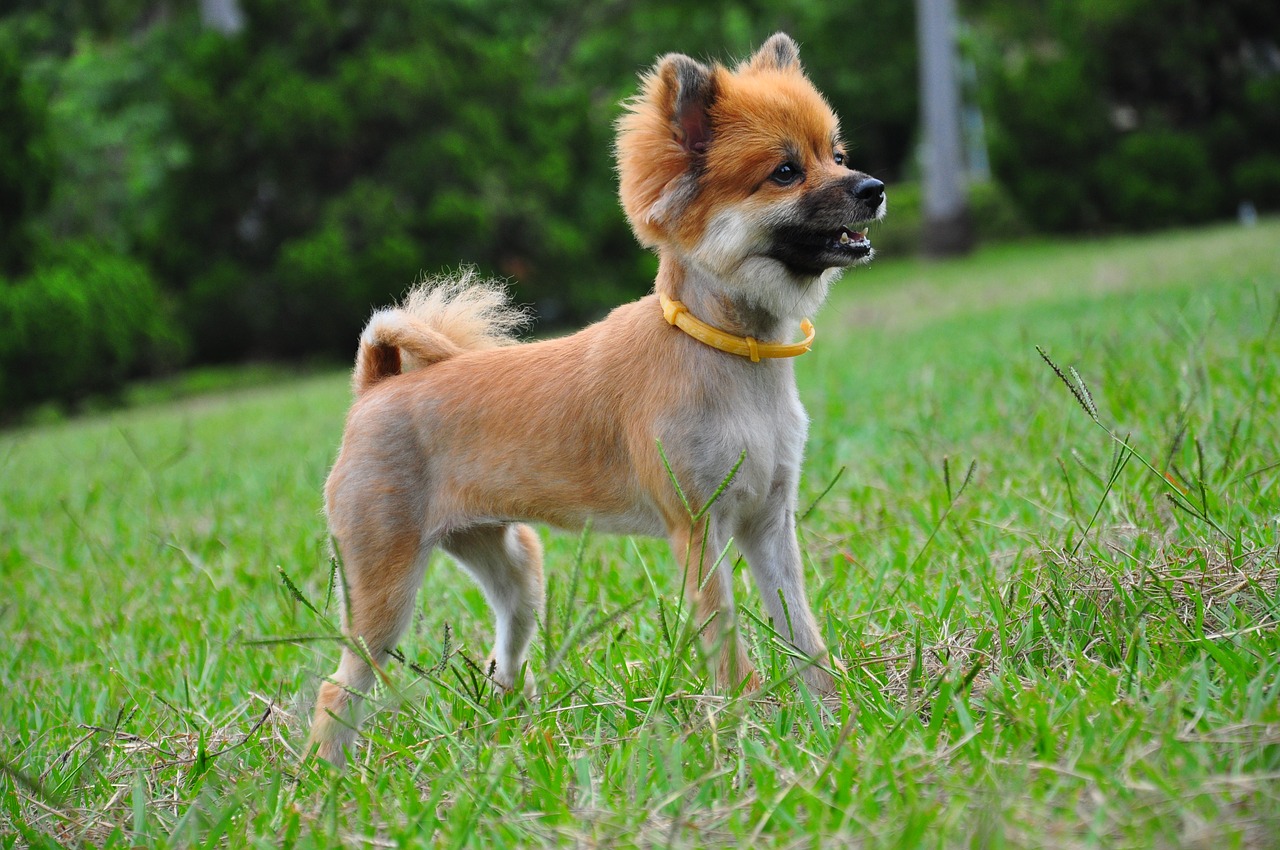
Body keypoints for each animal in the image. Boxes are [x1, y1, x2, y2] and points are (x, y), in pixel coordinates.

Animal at [305, 33, 885, 768]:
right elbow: (729, 650)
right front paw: (746, 732)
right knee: (339, 687)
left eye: (835, 154)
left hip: (515, 568)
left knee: (504, 655)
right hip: (384, 587)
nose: (874, 188)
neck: (730, 353)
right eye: (785, 172)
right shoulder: (699, 532)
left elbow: (803, 639)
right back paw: (324, 776)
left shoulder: (769, 525)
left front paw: (833, 721)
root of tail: (378, 387)